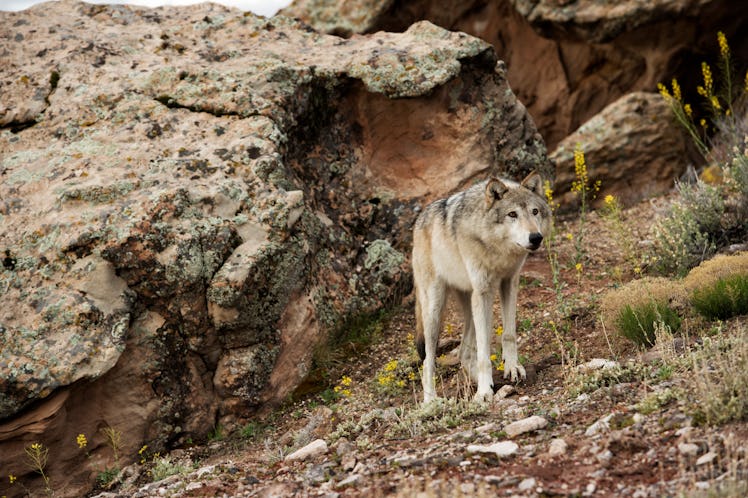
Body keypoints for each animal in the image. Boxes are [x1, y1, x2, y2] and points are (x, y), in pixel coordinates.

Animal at [412, 173, 552, 402]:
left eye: (535, 211)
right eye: (512, 214)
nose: (536, 237)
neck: (498, 250)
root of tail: (418, 222)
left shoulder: (509, 282)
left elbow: (509, 334)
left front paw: (512, 368)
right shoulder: (484, 292)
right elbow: (484, 351)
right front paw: (485, 392)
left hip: (470, 305)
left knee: (463, 353)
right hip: (435, 310)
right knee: (427, 361)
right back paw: (431, 400)